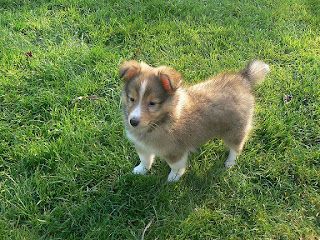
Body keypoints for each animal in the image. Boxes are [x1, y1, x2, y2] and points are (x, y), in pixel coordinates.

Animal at [119, 60, 268, 182]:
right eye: (132, 99)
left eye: (152, 103)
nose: (133, 121)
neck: (158, 123)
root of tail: (243, 79)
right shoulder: (142, 146)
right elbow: (145, 160)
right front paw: (139, 171)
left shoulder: (174, 151)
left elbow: (176, 167)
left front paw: (172, 179)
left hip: (235, 130)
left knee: (236, 148)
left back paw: (229, 163)